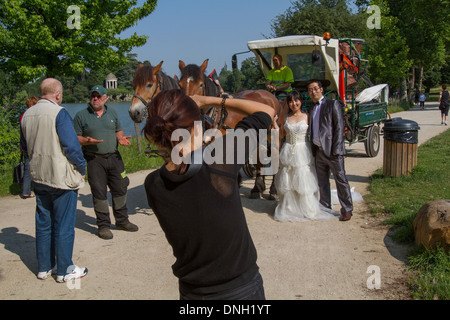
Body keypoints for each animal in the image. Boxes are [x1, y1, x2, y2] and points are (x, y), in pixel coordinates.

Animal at [177, 58, 286, 199]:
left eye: (201, 85)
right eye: (180, 85)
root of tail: (269, 94)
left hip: (275, 133)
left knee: (274, 156)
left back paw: (273, 190)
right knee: (259, 157)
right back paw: (257, 187)